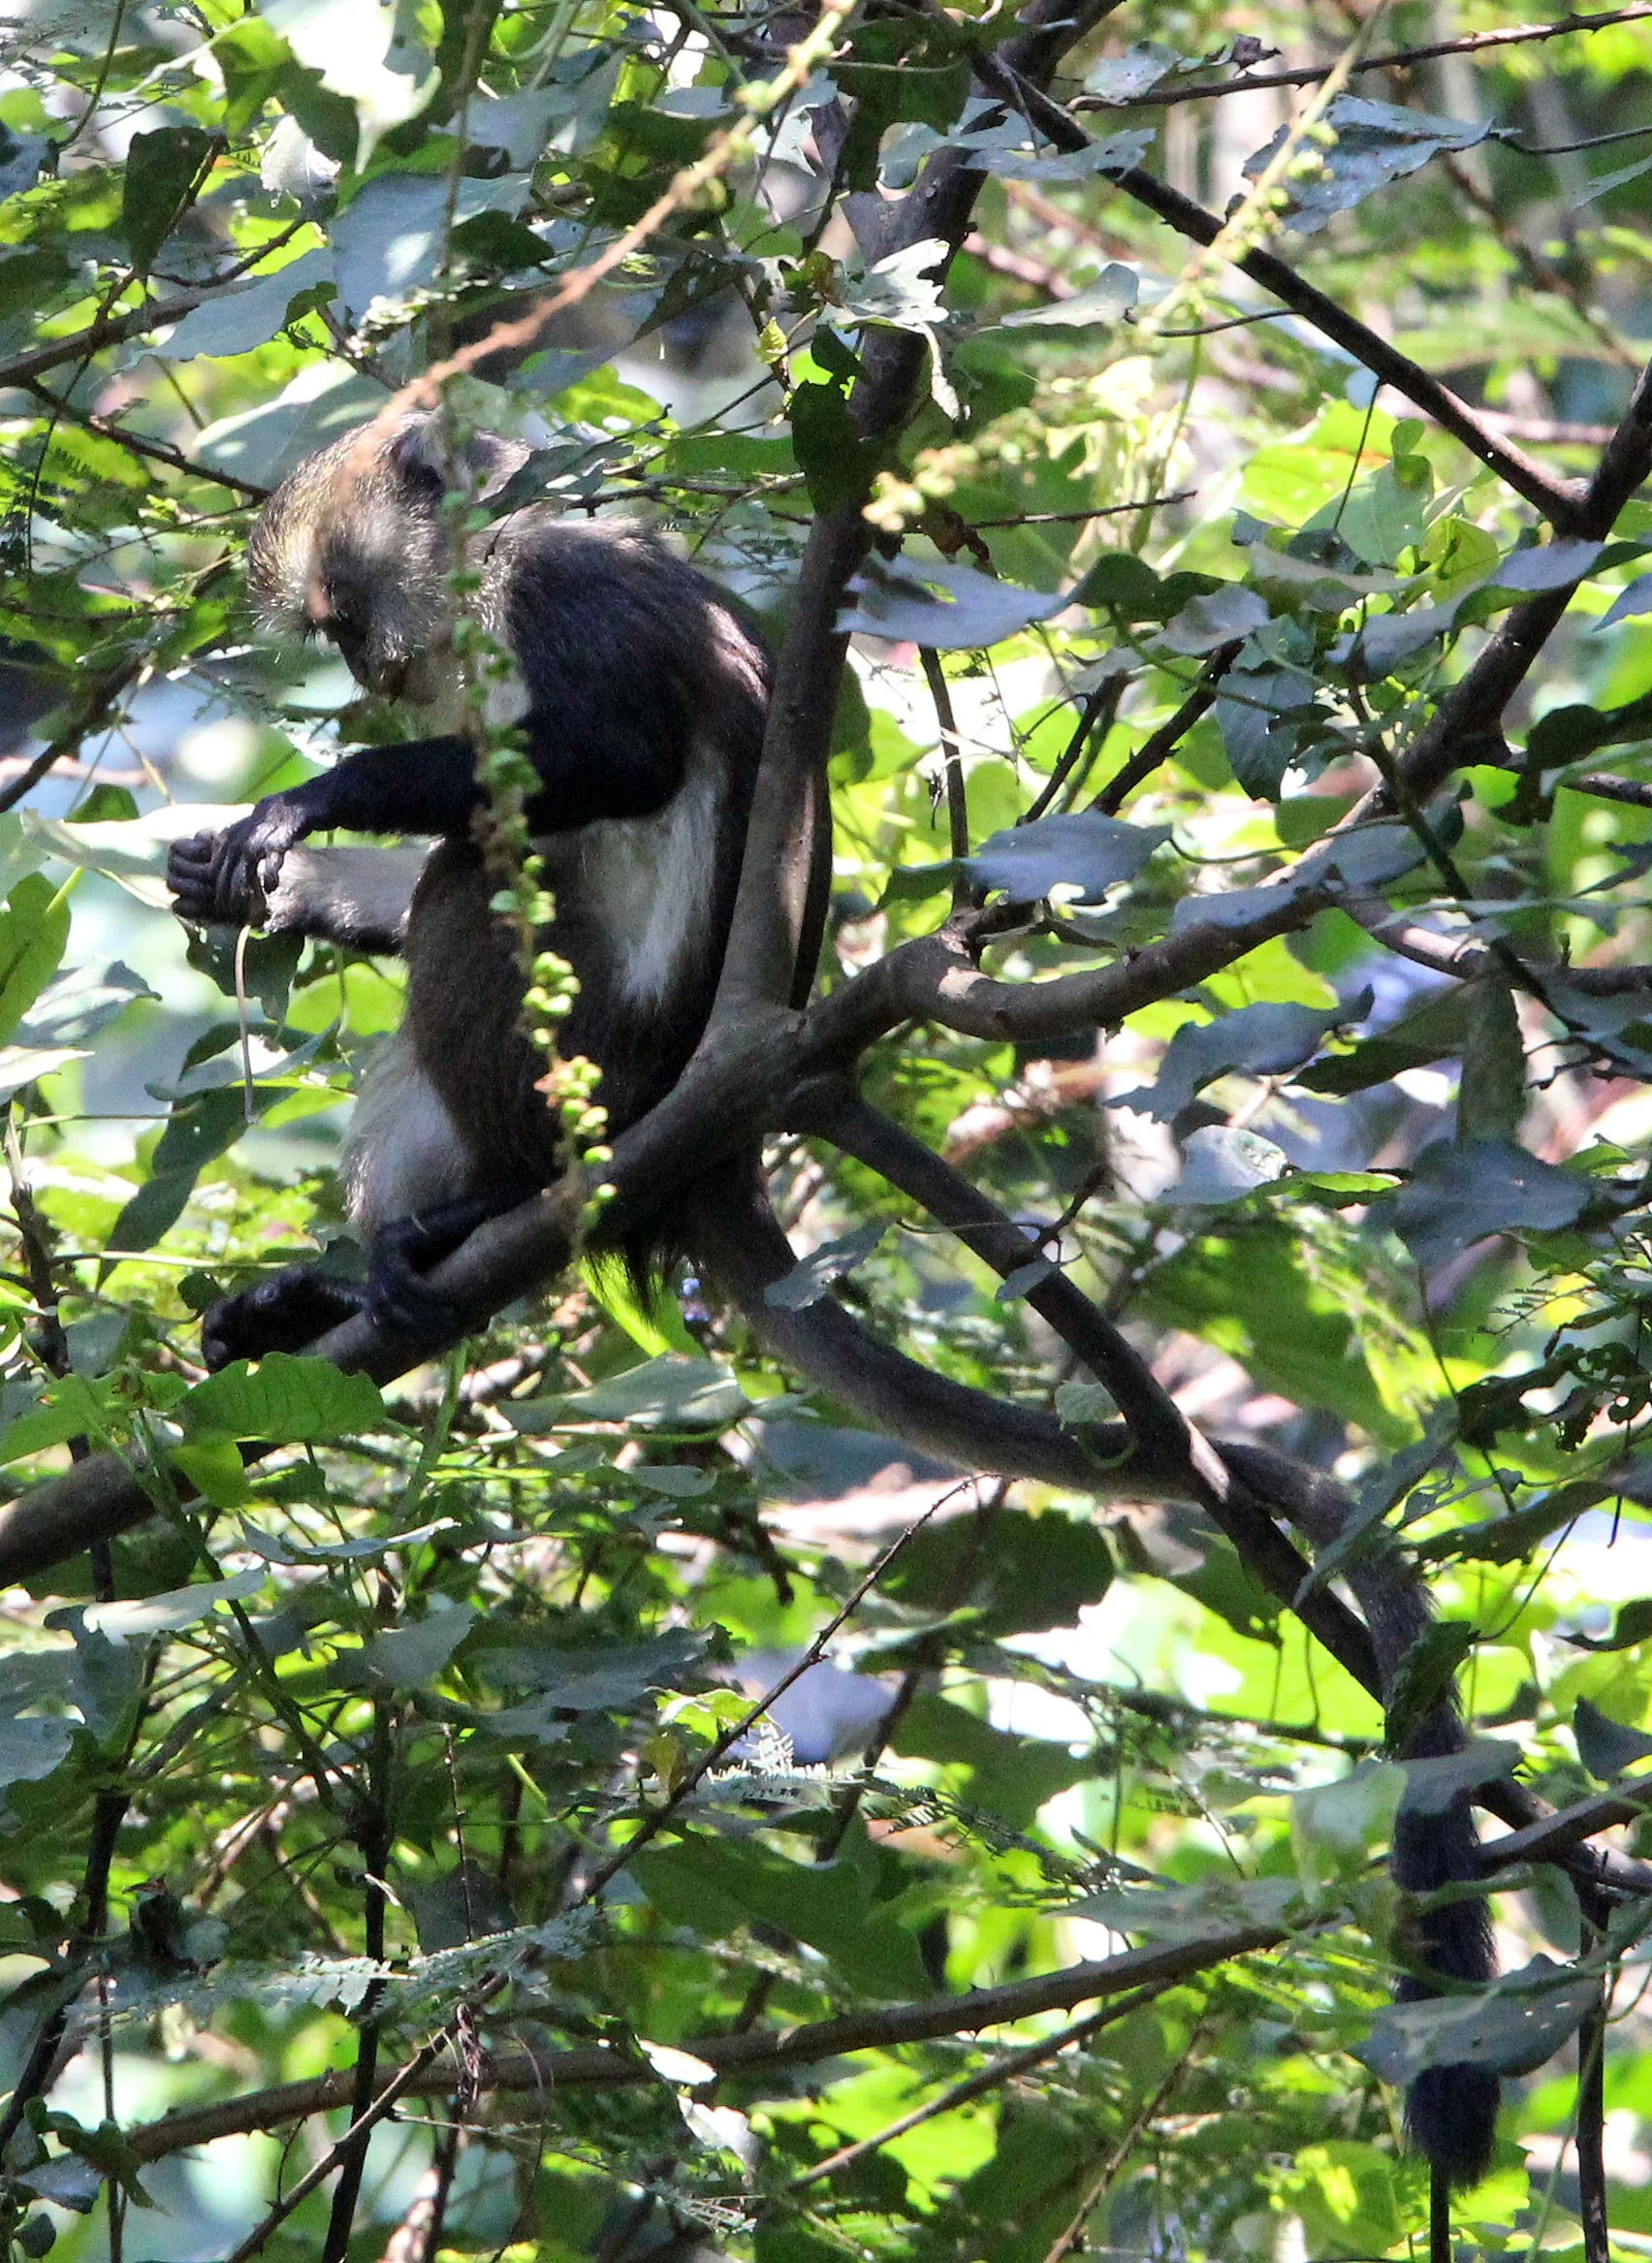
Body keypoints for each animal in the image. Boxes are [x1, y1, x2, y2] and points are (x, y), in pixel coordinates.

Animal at [166, 410, 774, 1368]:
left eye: (342, 615)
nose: (362, 667)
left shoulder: (559, 583)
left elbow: (626, 760)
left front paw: (311, 802)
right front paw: (270, 888)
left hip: (583, 1063)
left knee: (465, 879)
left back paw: (508, 1194)